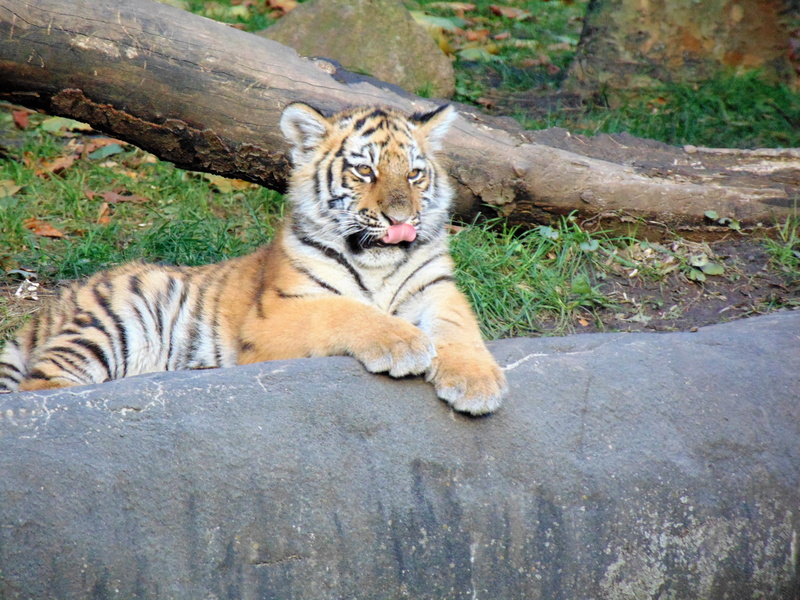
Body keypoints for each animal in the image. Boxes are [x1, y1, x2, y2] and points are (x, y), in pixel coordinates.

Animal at [0, 103, 507, 414]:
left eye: (416, 174)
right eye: (365, 170)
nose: (402, 218)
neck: (375, 259)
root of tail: (54, 304)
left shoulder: (437, 290)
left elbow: (459, 329)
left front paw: (477, 383)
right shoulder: (275, 316)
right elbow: (343, 311)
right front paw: (403, 343)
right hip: (113, 322)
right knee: (41, 391)